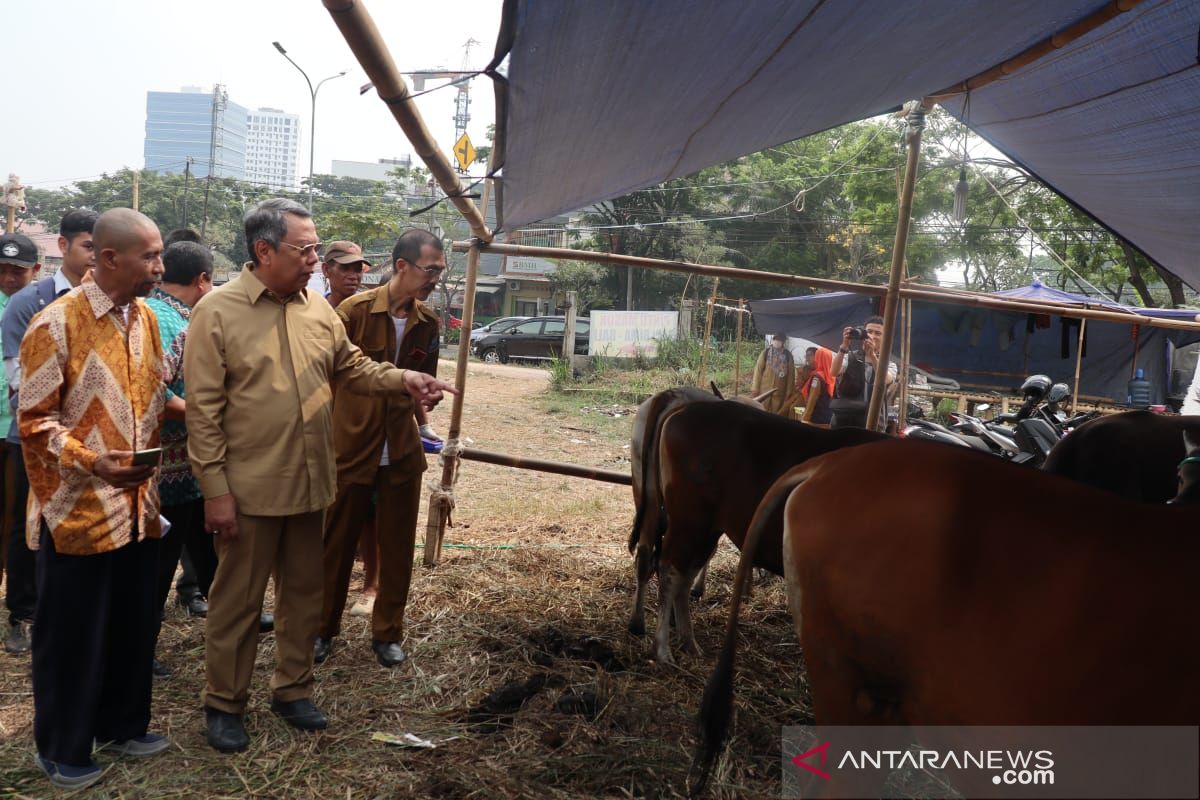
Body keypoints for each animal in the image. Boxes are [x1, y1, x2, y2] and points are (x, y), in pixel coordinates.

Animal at [633, 402, 888, 666]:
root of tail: (687, 407)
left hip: (706, 529)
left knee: (683, 577)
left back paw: (689, 643)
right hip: (689, 520)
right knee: (669, 570)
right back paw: (662, 649)